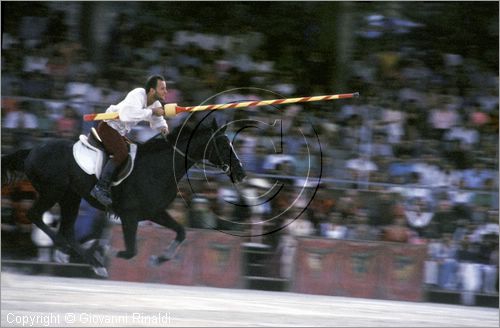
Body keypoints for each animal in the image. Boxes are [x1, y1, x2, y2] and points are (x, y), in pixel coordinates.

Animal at [1, 116, 246, 276]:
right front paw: (106, 250)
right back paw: (70, 251)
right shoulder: (130, 215)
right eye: (223, 144)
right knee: (36, 216)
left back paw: (87, 260)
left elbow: (181, 232)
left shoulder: (154, 212)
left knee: (68, 231)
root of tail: (32, 151)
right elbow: (130, 250)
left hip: (70, 197)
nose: (241, 172)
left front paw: (158, 259)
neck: (159, 166)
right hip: (53, 191)